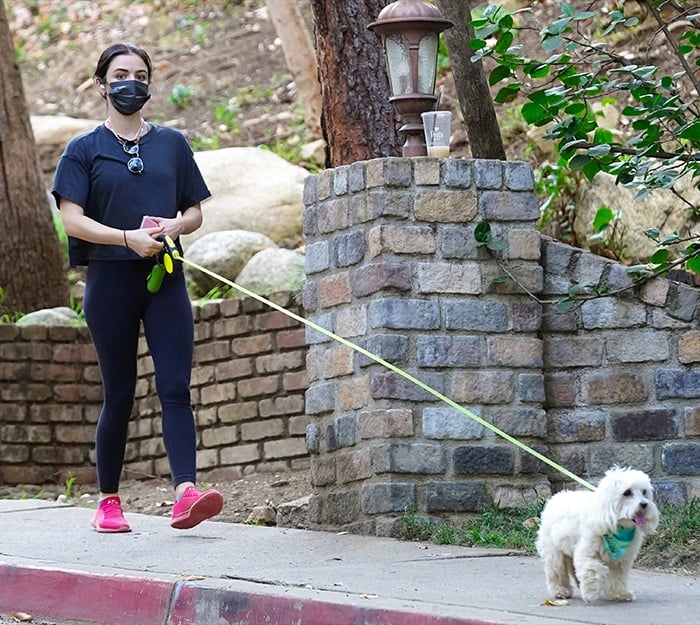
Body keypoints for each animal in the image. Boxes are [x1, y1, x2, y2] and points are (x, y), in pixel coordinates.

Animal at [540, 466, 660, 604]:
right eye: (627, 492)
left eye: (644, 491)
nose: (644, 504)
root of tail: (556, 497)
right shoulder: (587, 552)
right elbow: (591, 569)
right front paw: (590, 593)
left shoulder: (620, 560)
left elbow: (617, 577)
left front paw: (619, 593)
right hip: (554, 552)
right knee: (556, 570)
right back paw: (560, 590)